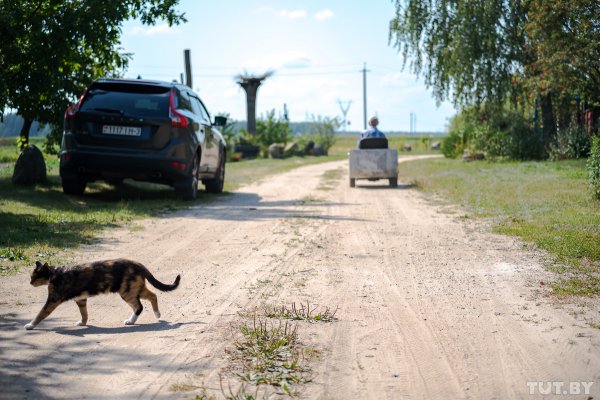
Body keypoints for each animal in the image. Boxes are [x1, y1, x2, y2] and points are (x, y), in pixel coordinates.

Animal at [25, 258, 180, 330]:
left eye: (34, 277)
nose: (30, 282)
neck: (54, 274)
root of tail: (137, 264)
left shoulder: (53, 299)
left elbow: (41, 313)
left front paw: (30, 325)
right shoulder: (81, 299)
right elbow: (84, 313)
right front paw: (82, 323)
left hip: (127, 291)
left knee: (139, 306)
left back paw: (130, 321)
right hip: (136, 288)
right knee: (153, 295)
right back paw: (157, 314)